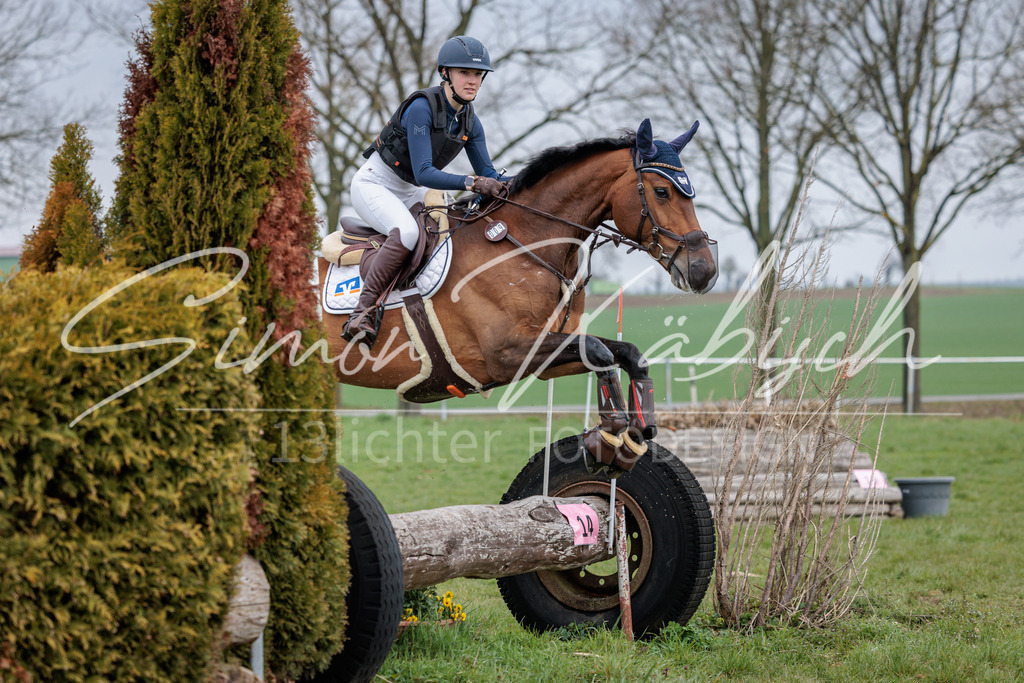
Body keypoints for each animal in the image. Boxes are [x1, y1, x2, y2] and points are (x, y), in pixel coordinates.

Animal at [317, 119, 717, 474]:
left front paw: (636, 432)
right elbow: (602, 353)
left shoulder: (546, 355)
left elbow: (627, 354)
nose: (704, 270)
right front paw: (611, 434)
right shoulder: (506, 353)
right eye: (662, 192)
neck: (525, 241)